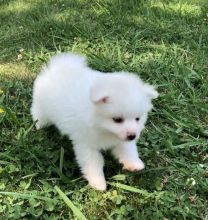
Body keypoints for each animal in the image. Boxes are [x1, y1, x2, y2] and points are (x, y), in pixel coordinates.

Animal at [30, 53, 158, 191]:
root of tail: (59, 67)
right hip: (42, 105)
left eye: (137, 118)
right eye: (117, 119)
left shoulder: (121, 139)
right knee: (38, 113)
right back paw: (39, 125)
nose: (132, 136)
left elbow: (127, 149)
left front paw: (134, 164)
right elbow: (94, 162)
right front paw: (98, 183)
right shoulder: (86, 143)